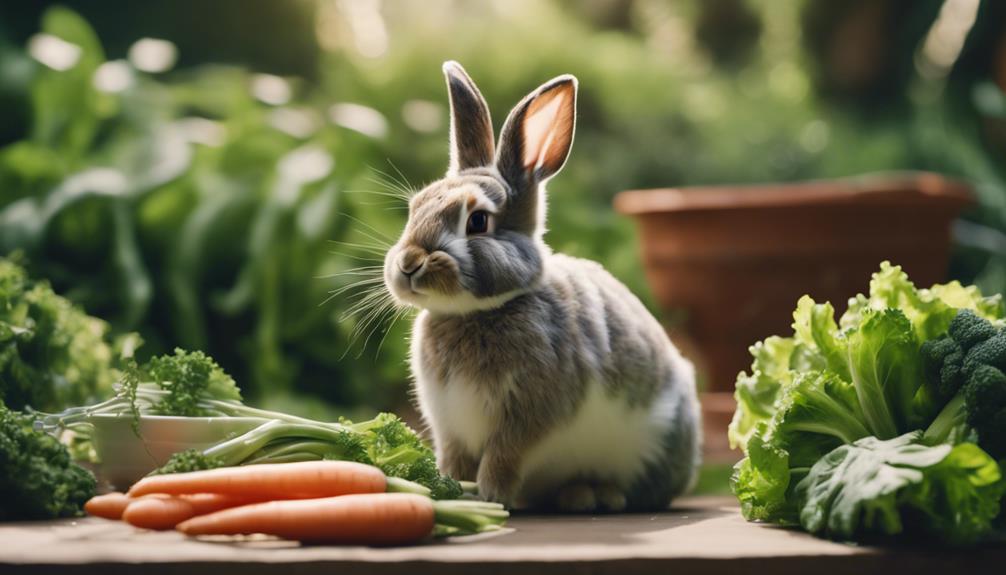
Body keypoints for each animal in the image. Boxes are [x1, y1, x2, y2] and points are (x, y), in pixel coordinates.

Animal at [382, 61, 701, 512]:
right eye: (415, 208)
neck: (478, 311)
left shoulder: (532, 415)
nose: (408, 264)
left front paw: (490, 495)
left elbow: (504, 457)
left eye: (477, 221)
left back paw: (594, 496)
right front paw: (451, 487)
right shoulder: (450, 426)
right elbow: (457, 459)